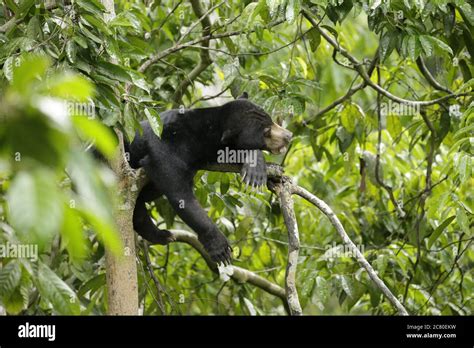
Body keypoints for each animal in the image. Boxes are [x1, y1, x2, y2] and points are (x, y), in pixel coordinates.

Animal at [125, 92, 292, 264]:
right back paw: (163, 235)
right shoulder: (166, 147)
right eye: (266, 132)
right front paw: (219, 247)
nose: (288, 135)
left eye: (271, 119)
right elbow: (179, 193)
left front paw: (259, 169)